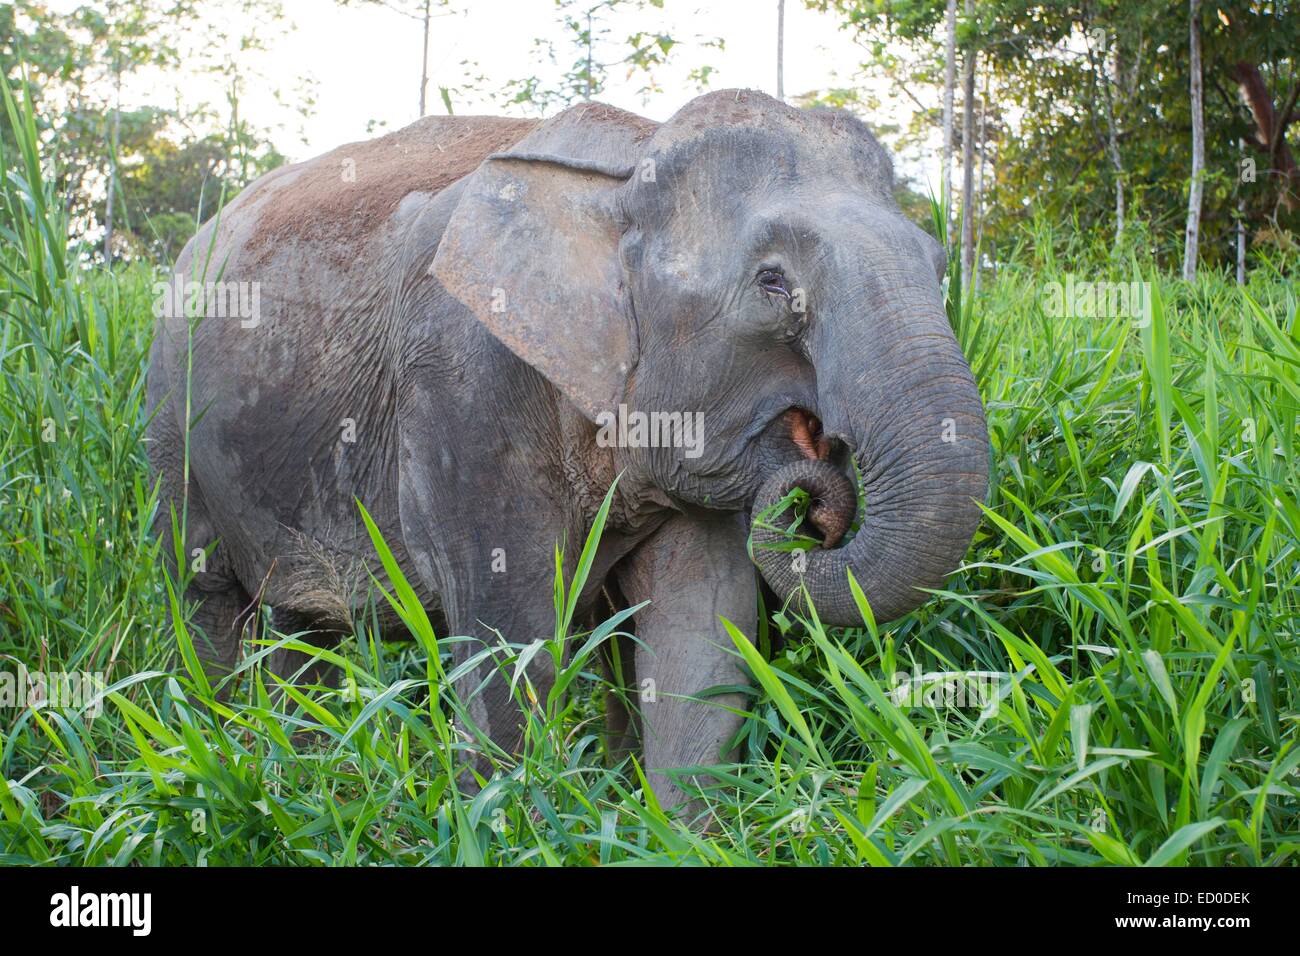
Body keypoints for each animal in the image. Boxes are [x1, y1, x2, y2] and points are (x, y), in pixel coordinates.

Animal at [145, 89, 989, 810]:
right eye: (775, 283)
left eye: (939, 265)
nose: (815, 498)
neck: (635, 157)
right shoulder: (461, 382)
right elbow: (508, 630)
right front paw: (508, 817)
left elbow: (702, 627)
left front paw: (675, 830)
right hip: (170, 422)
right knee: (208, 592)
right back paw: (223, 759)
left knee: (301, 627)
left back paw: (295, 772)